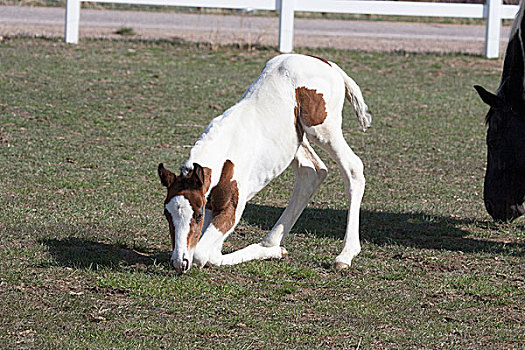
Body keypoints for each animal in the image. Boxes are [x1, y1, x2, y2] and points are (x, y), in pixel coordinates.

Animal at [158, 54, 370, 274]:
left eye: (197, 215)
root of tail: (330, 65)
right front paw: (274, 251)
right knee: (312, 172)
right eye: (166, 214)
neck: (225, 151)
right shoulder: (211, 202)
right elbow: (205, 250)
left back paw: (345, 255)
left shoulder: (232, 208)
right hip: (295, 139)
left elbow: (205, 255)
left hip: (322, 130)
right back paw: (271, 242)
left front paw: (272, 252)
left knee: (353, 167)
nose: (179, 262)